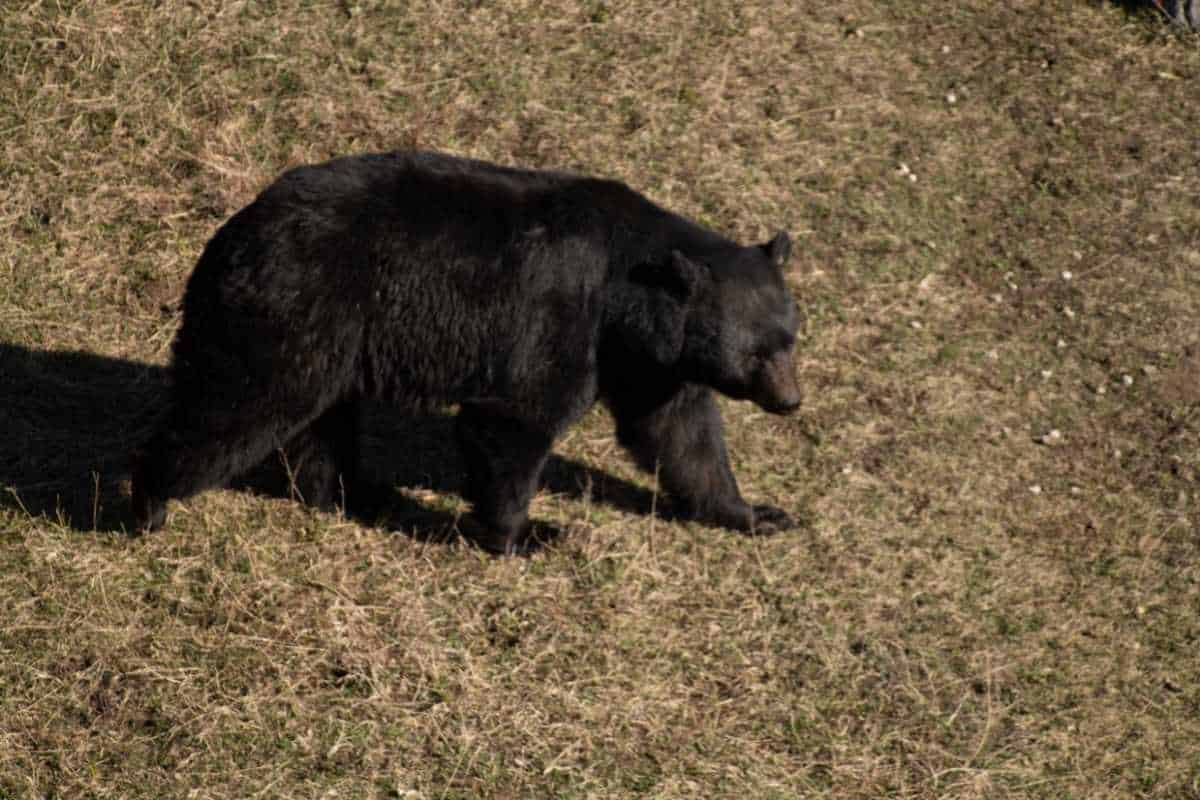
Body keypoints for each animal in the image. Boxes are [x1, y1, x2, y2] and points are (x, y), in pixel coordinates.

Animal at [131, 149, 801, 554]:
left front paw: (755, 513)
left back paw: (357, 492)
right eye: (757, 353)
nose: (791, 400)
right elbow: (514, 419)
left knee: (319, 425)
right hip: (295, 314)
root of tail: (230, 236)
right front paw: (528, 533)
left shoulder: (643, 359)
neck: (627, 290)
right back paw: (148, 501)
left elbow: (677, 432)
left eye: (791, 339)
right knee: (239, 405)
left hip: (331, 344)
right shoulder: (563, 318)